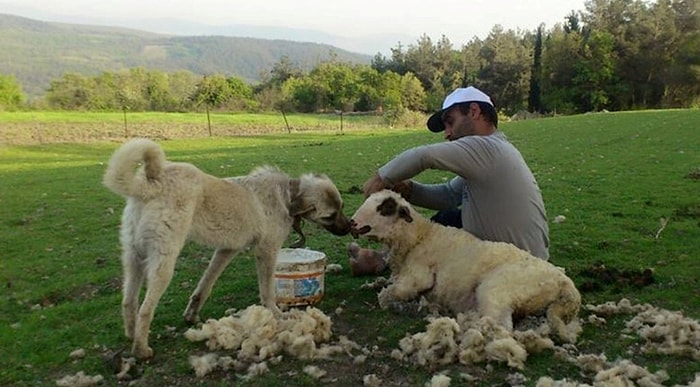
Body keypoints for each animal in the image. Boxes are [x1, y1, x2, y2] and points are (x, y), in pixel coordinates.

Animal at [103, 138, 350, 360]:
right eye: (330, 216)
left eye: (342, 207)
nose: (351, 228)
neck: (289, 193)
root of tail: (152, 183)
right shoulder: (266, 252)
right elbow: (267, 290)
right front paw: (275, 314)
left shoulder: (225, 250)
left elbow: (205, 285)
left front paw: (192, 315)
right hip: (163, 263)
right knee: (146, 309)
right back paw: (141, 350)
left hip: (134, 258)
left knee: (129, 301)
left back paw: (131, 334)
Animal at [350, 189, 584, 344]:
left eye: (384, 208)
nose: (352, 223)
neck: (419, 238)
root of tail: (564, 283)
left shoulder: (416, 278)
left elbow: (388, 294)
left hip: (495, 289)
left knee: (501, 328)